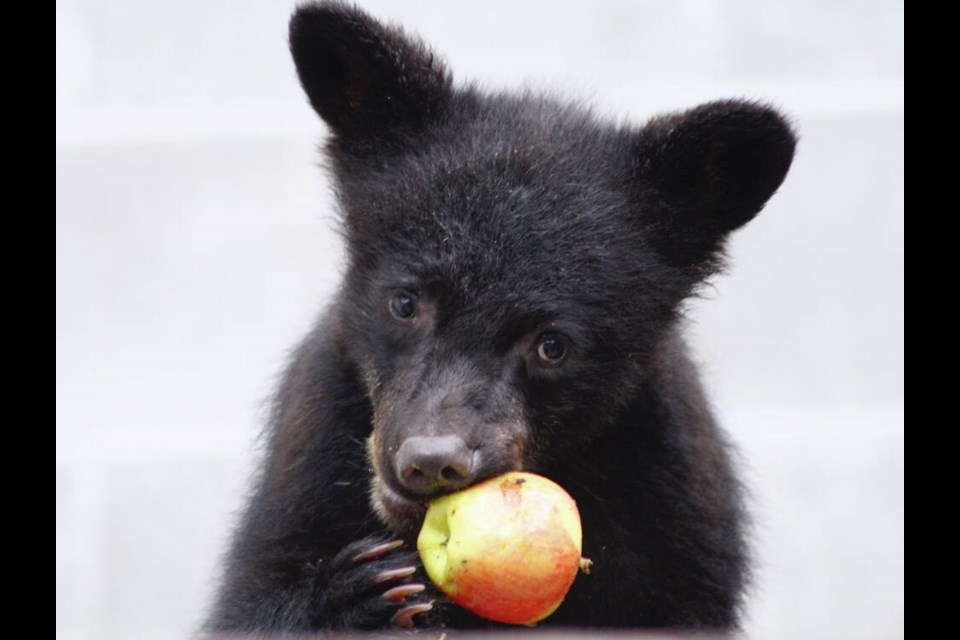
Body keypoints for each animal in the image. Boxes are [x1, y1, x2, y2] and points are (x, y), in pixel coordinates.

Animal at [208, 0, 796, 632]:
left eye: (552, 344)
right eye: (405, 303)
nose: (430, 461)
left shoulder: (672, 510)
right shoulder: (311, 450)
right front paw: (363, 596)